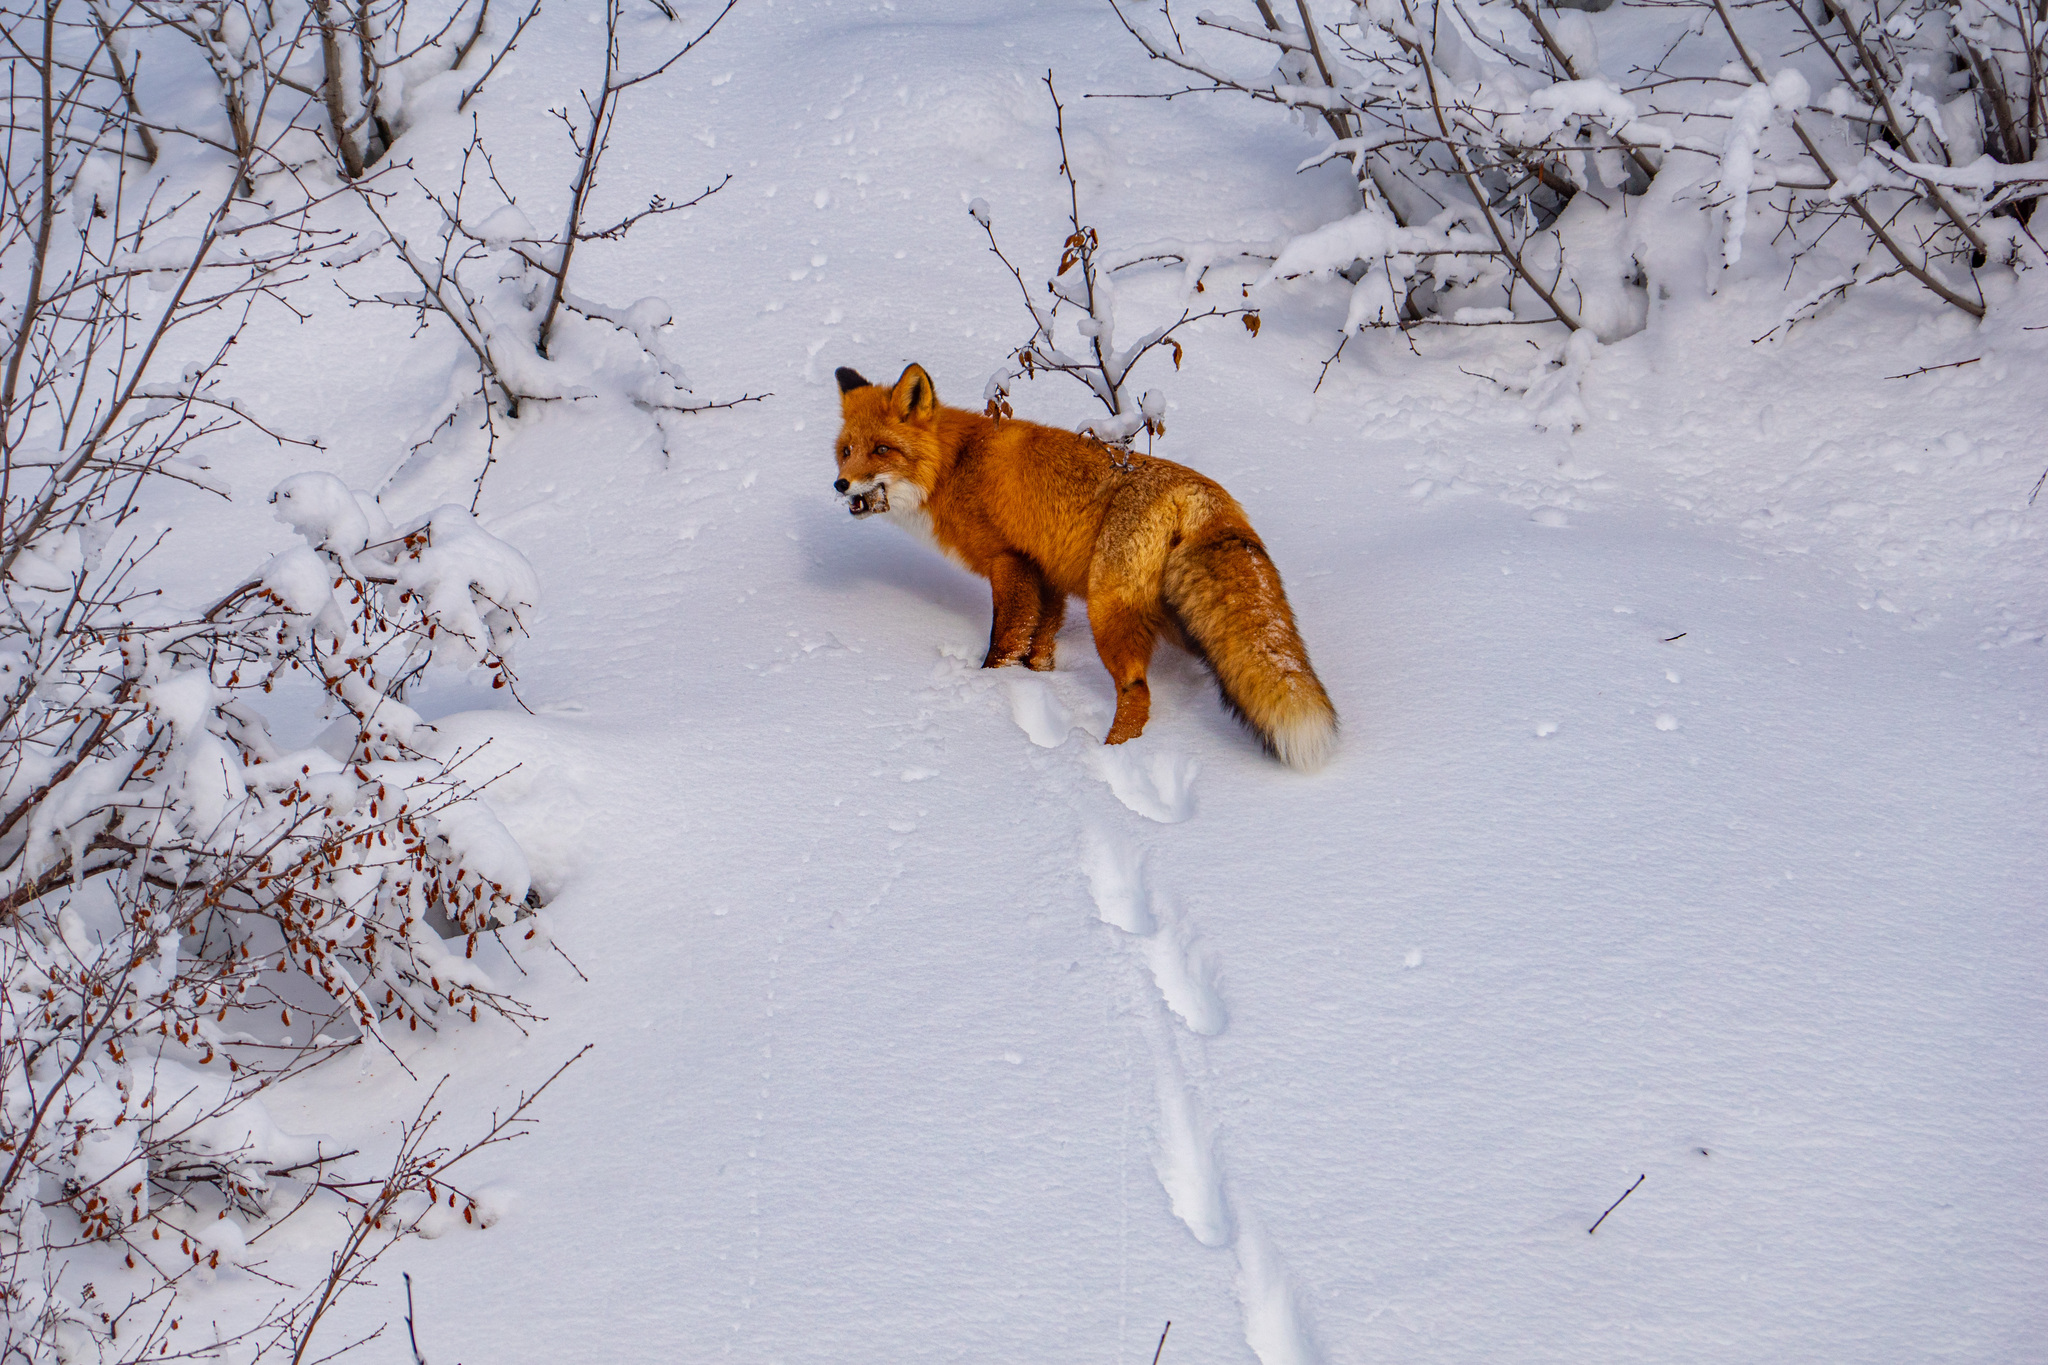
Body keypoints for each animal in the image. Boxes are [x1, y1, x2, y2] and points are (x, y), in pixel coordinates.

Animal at [831, 366, 1343, 769]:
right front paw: (1036, 682)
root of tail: (1201, 493)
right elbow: (1039, 647)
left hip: (1108, 612)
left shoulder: (1010, 562)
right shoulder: (1048, 573)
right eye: (846, 450)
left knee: (1137, 692)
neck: (954, 467)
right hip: (1175, 618)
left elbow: (1004, 643)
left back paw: (1112, 756)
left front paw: (991, 686)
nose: (840, 484)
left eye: (881, 450)